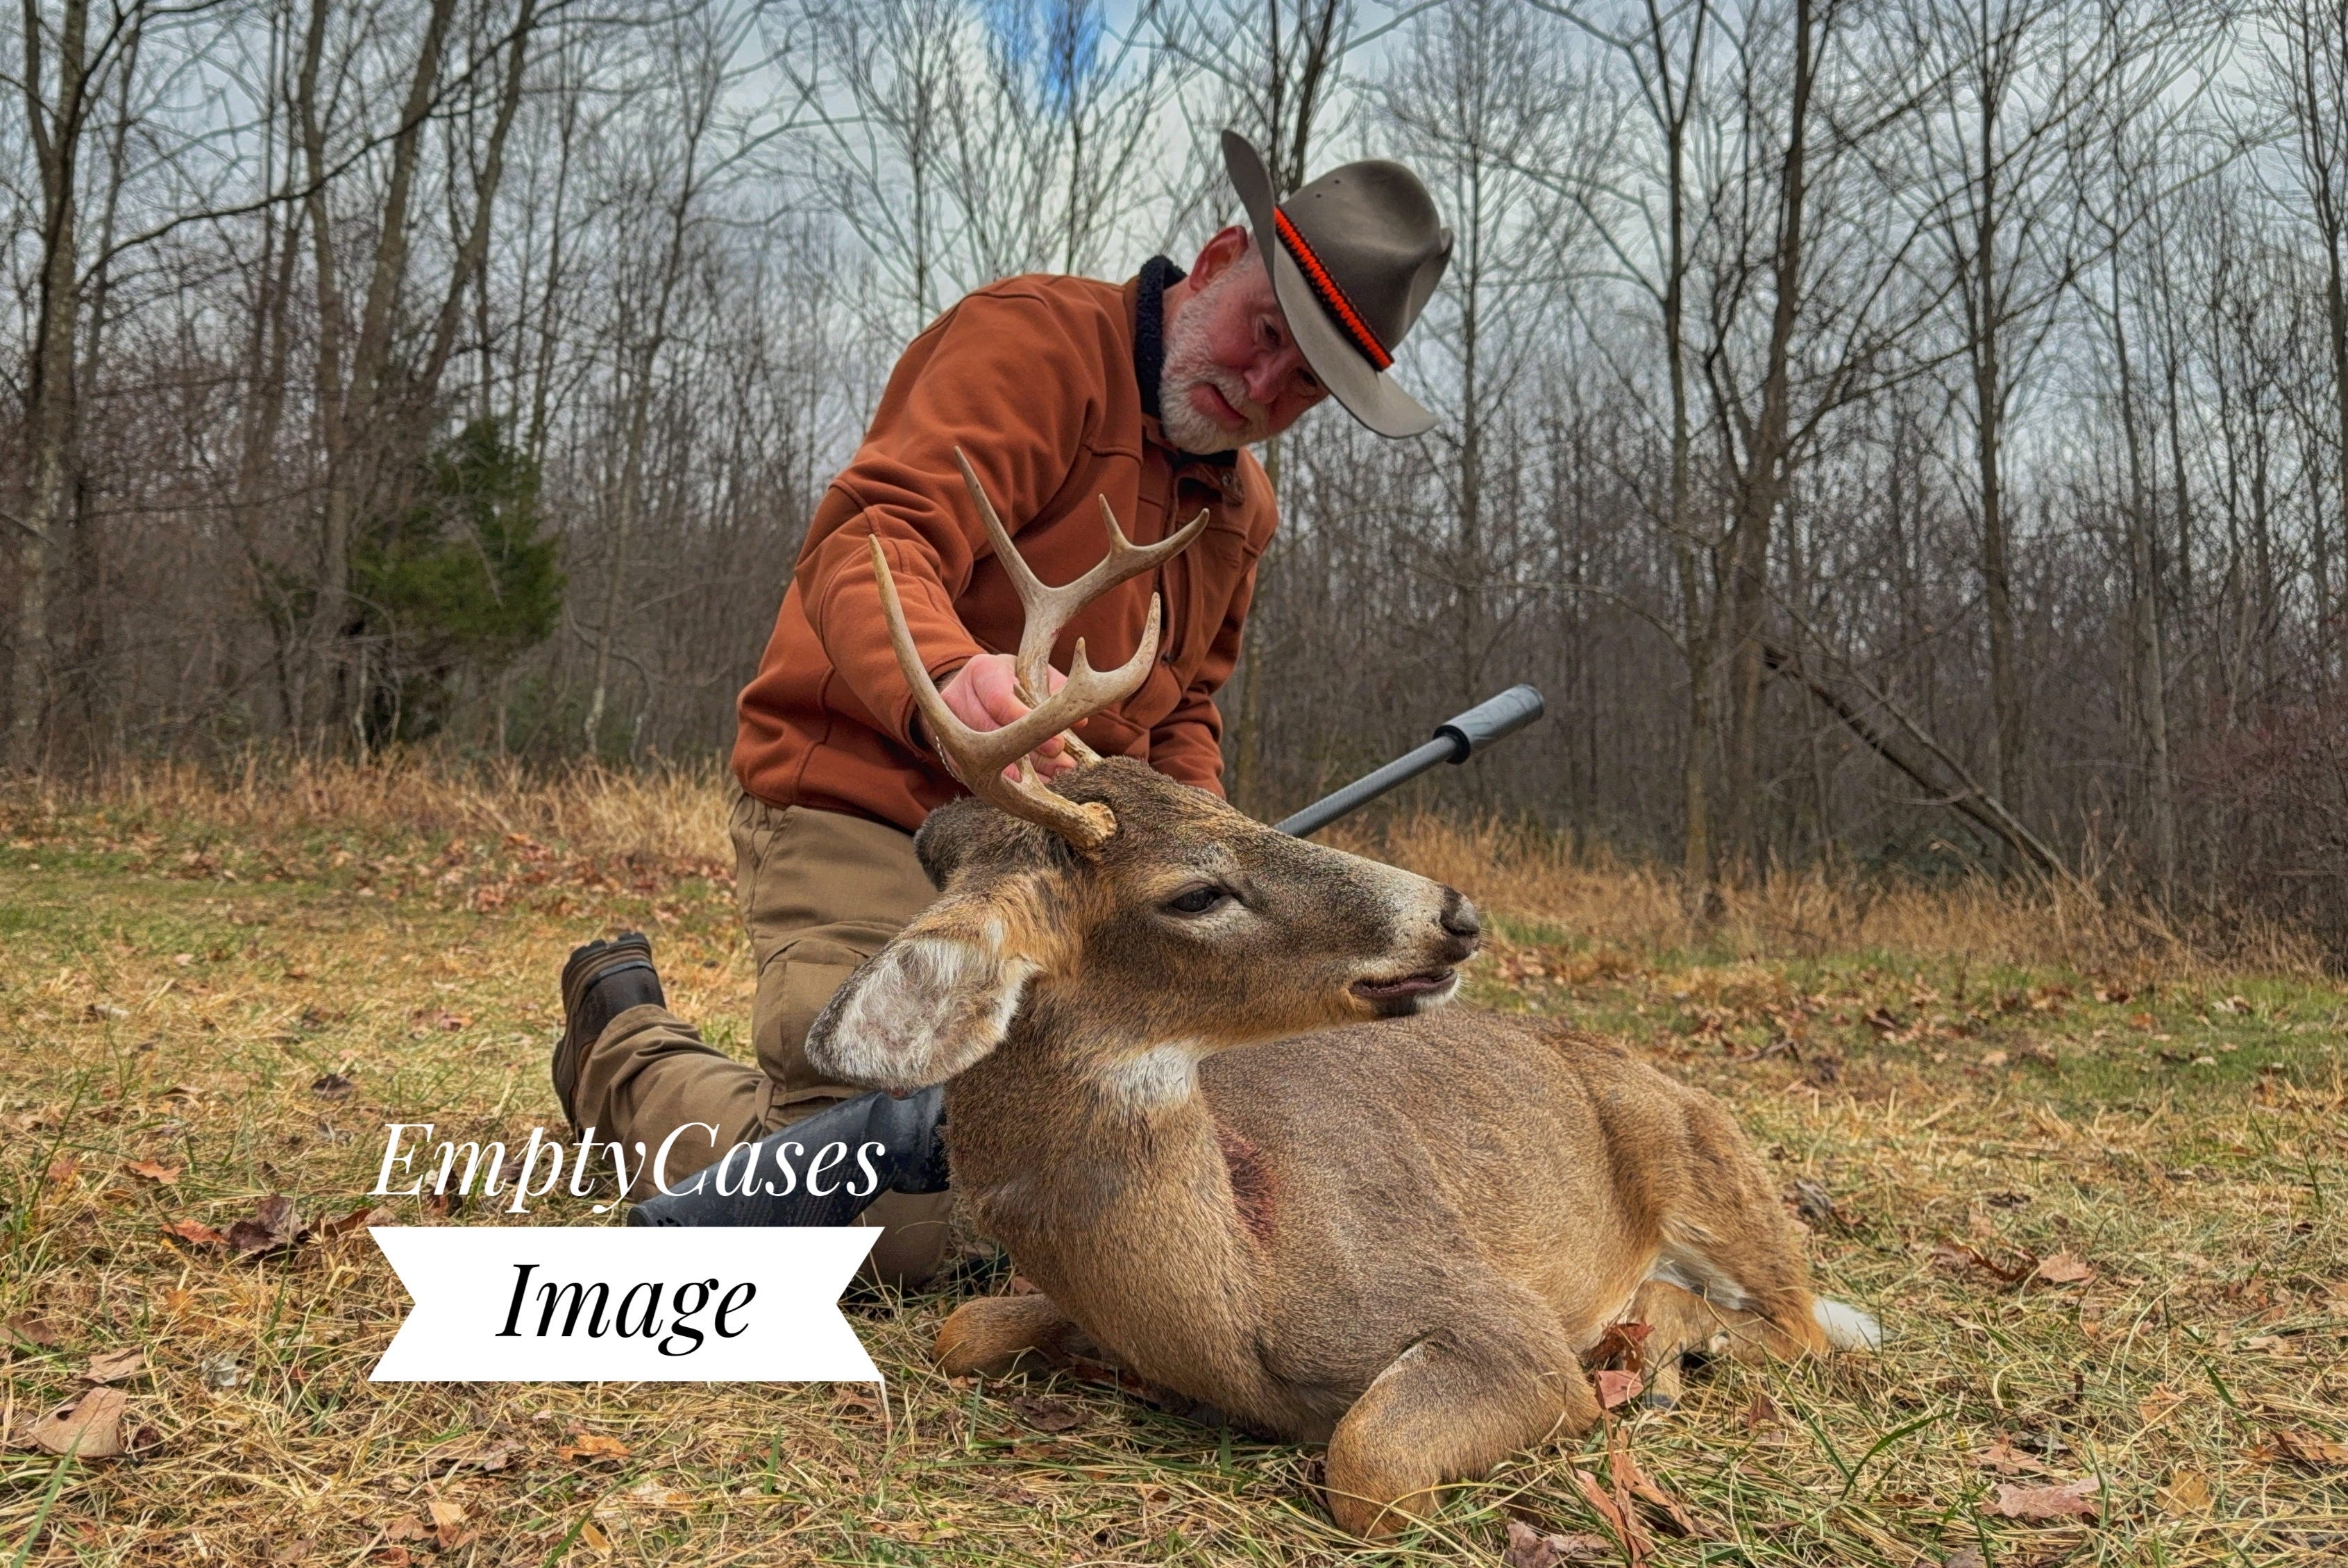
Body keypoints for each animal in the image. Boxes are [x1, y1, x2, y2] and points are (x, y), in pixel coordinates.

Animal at [803, 454, 1880, 1540]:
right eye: (1194, 891)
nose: (1454, 910)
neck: (1234, 1306)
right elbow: (961, 1327)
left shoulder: (1498, 1318)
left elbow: (1372, 1463)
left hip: (1704, 1166)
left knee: (1803, 1324)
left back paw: (1653, 1355)